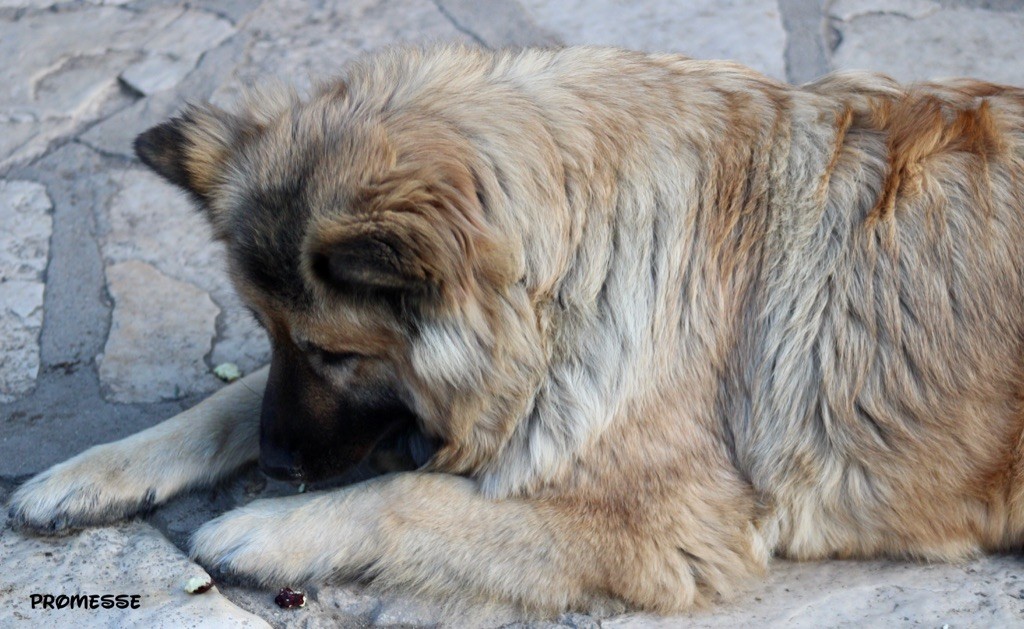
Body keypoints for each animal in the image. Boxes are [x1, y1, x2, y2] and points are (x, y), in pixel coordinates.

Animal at [6, 44, 1024, 614]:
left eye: (337, 352)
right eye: (268, 332)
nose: (282, 466)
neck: (574, 264)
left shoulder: (663, 528)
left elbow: (411, 496)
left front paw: (265, 526)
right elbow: (223, 406)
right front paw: (89, 471)